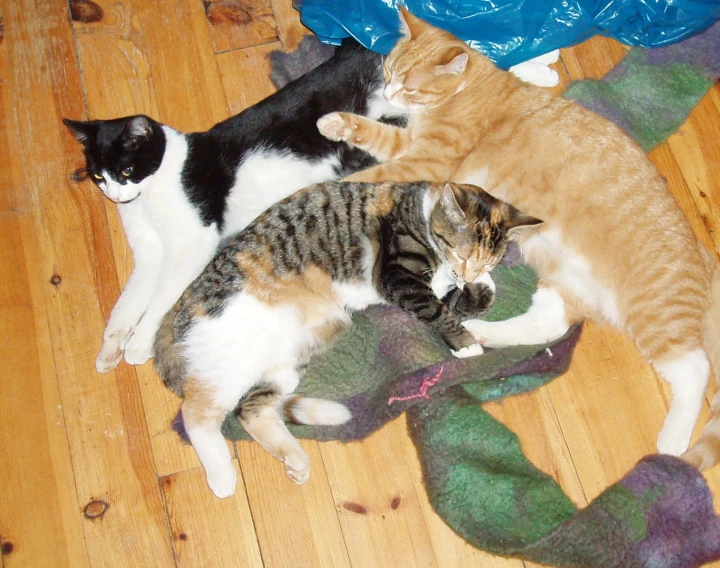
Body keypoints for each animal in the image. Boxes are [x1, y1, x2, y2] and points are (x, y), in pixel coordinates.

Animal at [62, 38, 404, 372]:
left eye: (126, 170)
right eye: (98, 176)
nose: (115, 196)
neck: (149, 194)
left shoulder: (194, 241)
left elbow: (161, 297)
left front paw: (139, 342)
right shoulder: (148, 255)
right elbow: (128, 302)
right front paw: (110, 347)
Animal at [155, 182, 544, 496]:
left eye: (487, 261)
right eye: (462, 253)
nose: (469, 273)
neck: (421, 210)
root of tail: (177, 310)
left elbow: (467, 300)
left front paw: (481, 286)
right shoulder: (399, 278)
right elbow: (437, 311)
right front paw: (466, 343)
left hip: (285, 364)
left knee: (252, 410)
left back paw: (296, 460)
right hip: (232, 356)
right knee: (196, 413)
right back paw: (222, 477)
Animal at [318, 8, 720, 468]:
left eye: (410, 85)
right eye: (387, 73)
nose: (388, 90)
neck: (471, 89)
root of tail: (702, 251)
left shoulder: (427, 161)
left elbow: (367, 175)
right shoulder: (411, 146)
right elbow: (375, 132)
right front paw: (337, 121)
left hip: (653, 313)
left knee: (694, 370)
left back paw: (673, 441)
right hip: (565, 282)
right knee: (546, 325)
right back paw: (483, 333)